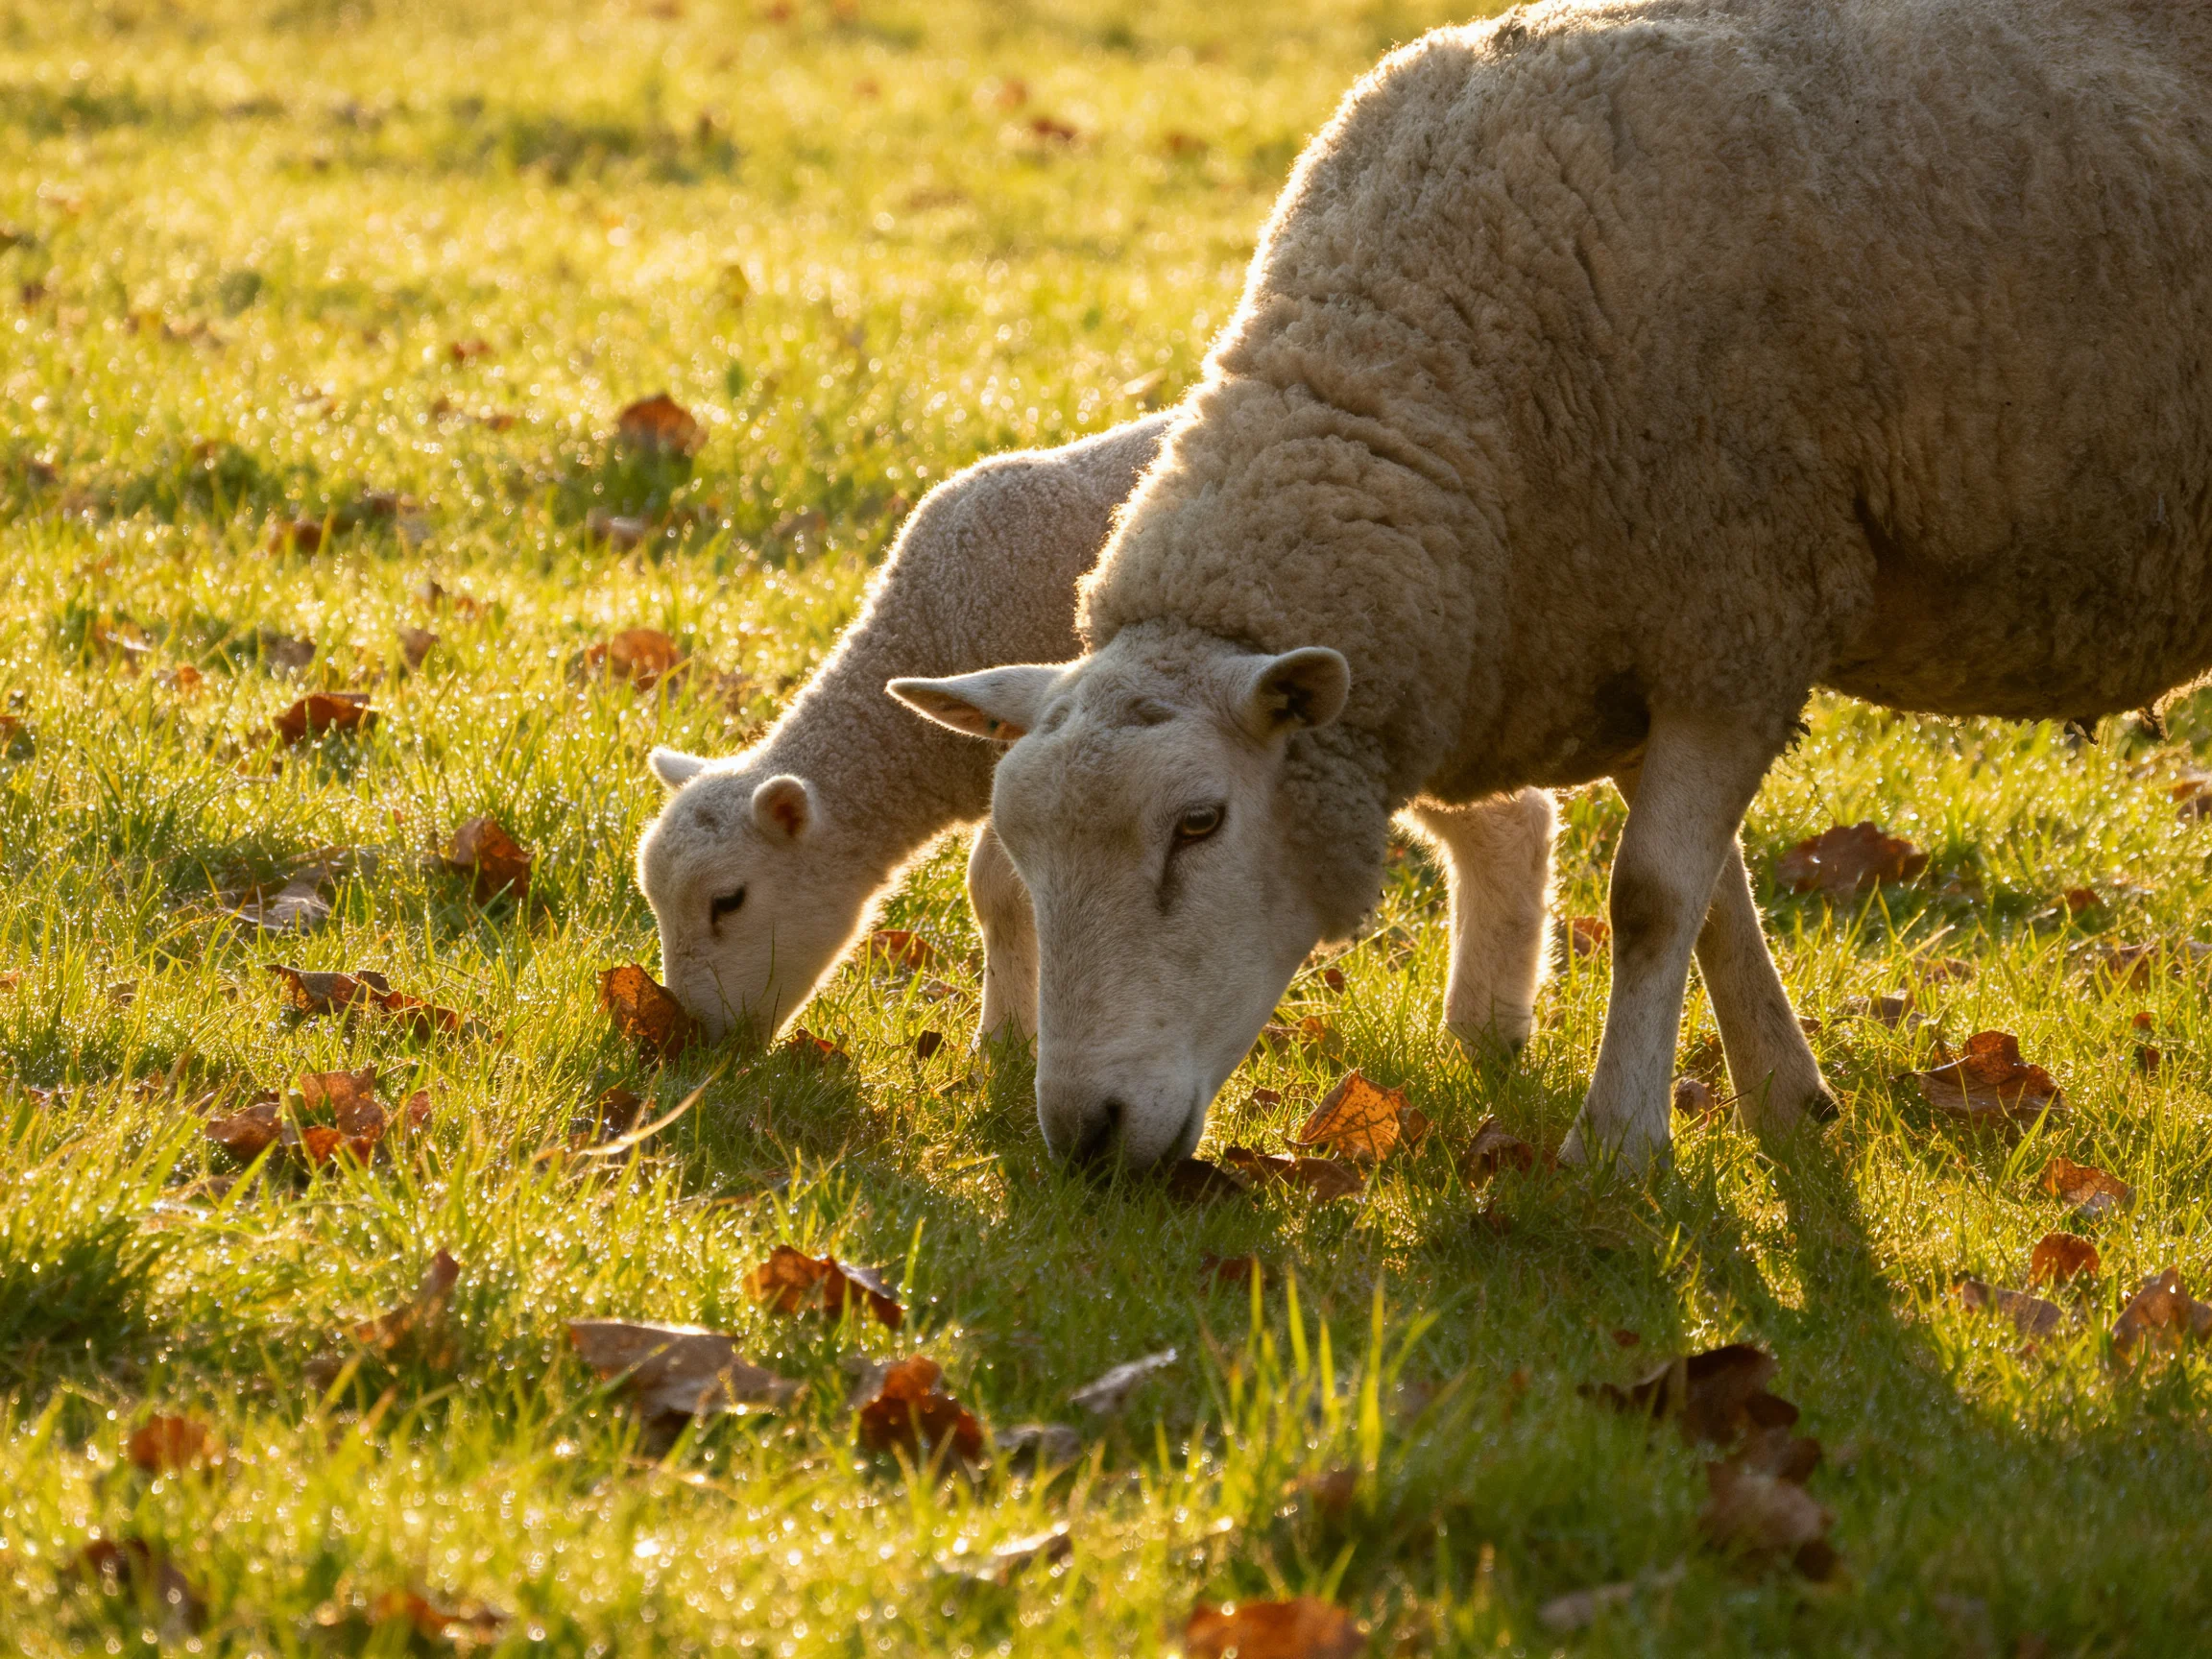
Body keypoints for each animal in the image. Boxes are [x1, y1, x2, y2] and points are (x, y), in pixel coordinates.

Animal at [636, 415, 1566, 1052]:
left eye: (727, 901)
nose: (695, 1040)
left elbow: (998, 889)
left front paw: (1004, 1042)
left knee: (1510, 826)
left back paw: (1486, 1030)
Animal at [889, 0, 2212, 1171]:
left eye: (1199, 824)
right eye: (1021, 847)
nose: (1085, 1137)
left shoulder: (1740, 613)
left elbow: (1651, 896)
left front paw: (1619, 1145)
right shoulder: (1627, 642)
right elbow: (1717, 897)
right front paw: (1784, 1100)